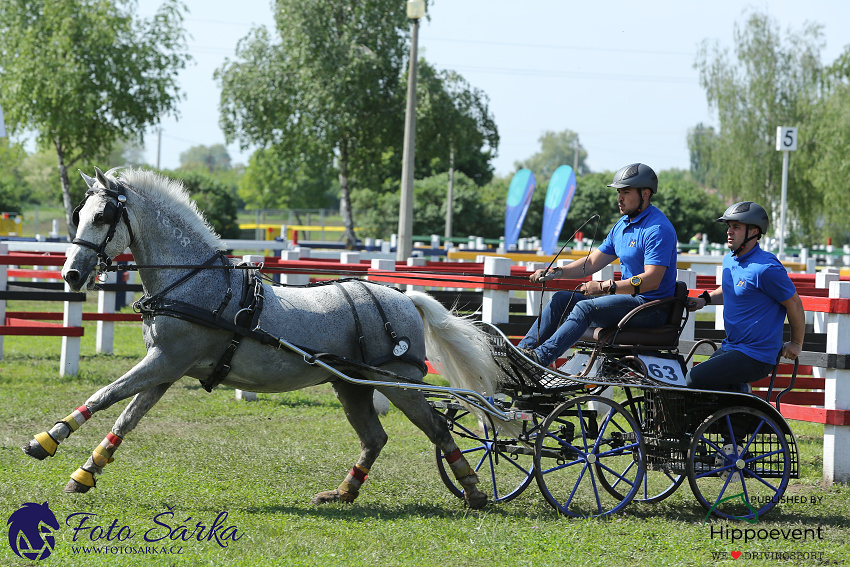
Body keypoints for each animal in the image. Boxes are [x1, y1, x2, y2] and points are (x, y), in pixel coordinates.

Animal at [21, 166, 504, 508]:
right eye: (78, 215)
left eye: (102, 216)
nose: (71, 275)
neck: (193, 284)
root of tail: (405, 298)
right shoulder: (166, 367)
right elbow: (126, 417)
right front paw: (86, 471)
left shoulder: (164, 361)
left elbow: (106, 395)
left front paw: (47, 440)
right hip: (351, 385)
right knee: (374, 438)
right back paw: (343, 492)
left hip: (396, 382)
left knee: (437, 427)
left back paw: (475, 489)